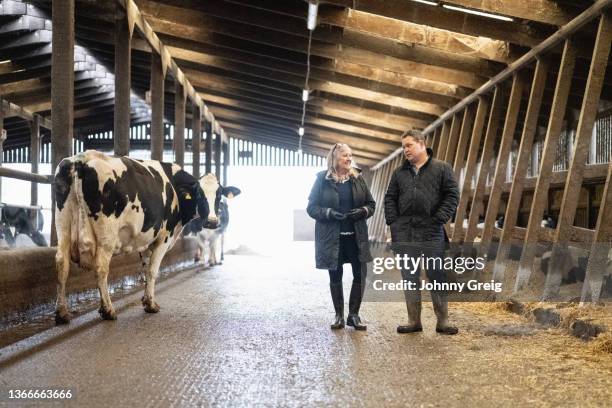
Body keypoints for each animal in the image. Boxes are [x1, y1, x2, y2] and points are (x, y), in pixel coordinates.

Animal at [55, 150, 213, 326]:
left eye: (218, 195)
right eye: (201, 195)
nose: (213, 221)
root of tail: (82, 159)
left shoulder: (146, 241)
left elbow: (145, 268)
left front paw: (146, 300)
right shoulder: (163, 238)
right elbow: (152, 270)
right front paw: (151, 304)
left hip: (63, 225)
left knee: (62, 264)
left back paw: (62, 313)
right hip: (106, 235)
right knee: (101, 268)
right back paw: (108, 310)